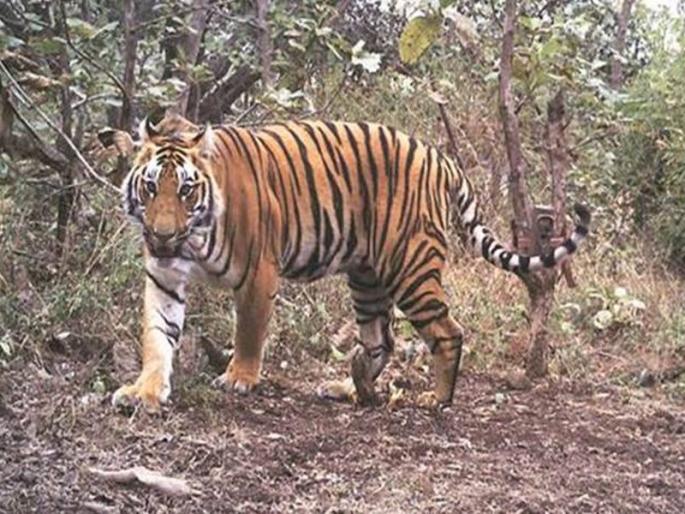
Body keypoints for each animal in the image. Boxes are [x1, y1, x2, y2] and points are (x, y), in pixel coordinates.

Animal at [105, 113, 590, 412]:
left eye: (186, 190)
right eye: (151, 187)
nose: (162, 234)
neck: (192, 237)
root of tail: (441, 158)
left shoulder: (259, 272)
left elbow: (249, 332)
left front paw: (239, 378)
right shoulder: (164, 276)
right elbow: (157, 336)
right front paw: (144, 391)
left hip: (411, 268)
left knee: (447, 332)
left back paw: (437, 399)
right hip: (367, 276)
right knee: (379, 341)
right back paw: (352, 386)